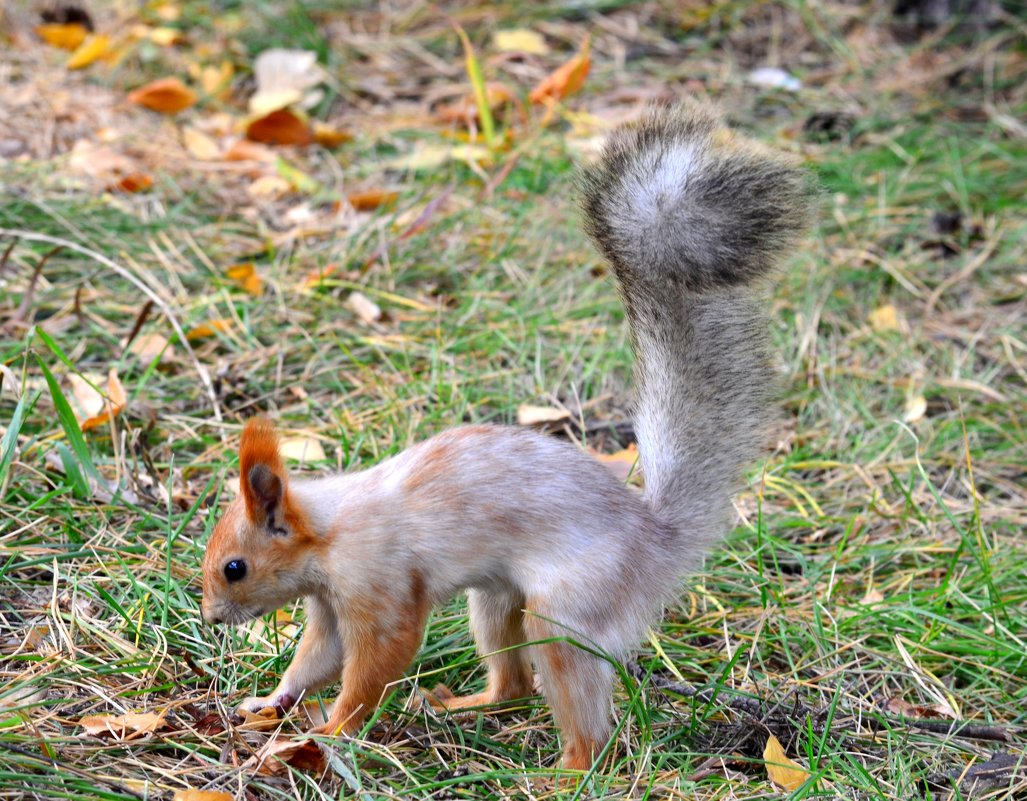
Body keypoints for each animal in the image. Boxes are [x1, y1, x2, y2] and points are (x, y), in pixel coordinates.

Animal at [198, 103, 809, 772]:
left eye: (235, 567)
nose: (213, 618)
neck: (328, 529)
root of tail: (656, 540)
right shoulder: (330, 604)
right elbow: (317, 659)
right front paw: (271, 701)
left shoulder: (377, 584)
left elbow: (374, 664)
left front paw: (333, 731)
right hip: (494, 600)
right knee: (514, 686)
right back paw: (465, 708)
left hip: (567, 612)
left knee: (582, 717)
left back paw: (567, 772)